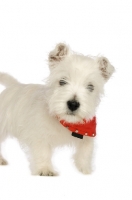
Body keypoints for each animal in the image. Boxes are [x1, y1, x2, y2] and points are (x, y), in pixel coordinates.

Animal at [0, 43, 114, 175]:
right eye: (62, 81)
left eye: (91, 87)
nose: (73, 104)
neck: (66, 122)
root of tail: (14, 86)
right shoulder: (39, 135)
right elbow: (42, 151)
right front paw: (45, 170)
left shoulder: (87, 134)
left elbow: (85, 152)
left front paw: (85, 169)